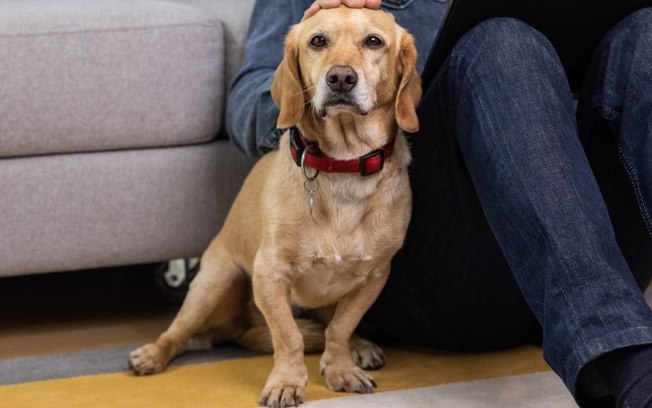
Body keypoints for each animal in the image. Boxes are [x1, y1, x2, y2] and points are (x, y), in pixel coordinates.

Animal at [129, 7, 422, 408]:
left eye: (374, 41)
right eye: (318, 41)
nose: (341, 78)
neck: (343, 164)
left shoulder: (374, 277)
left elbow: (341, 328)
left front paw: (341, 368)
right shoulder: (270, 275)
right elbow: (288, 337)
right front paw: (286, 382)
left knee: (331, 324)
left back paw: (361, 346)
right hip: (215, 283)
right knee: (178, 333)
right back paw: (152, 355)